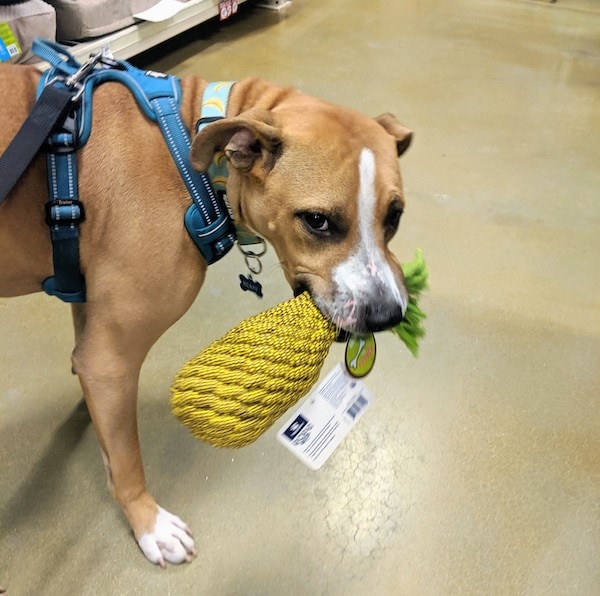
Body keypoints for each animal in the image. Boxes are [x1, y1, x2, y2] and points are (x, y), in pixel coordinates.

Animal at [0, 62, 412, 564]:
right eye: (317, 221)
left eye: (394, 216)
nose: (388, 315)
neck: (189, 152)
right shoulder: (110, 358)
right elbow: (127, 458)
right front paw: (149, 524)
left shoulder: (93, 326)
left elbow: (96, 398)